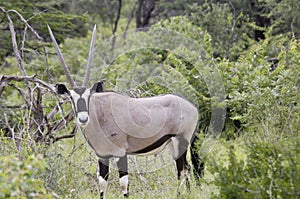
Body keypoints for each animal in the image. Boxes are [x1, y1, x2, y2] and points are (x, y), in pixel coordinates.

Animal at [48, 24, 202, 197]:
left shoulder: (121, 153)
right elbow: (102, 182)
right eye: (71, 98)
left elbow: (124, 184)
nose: (83, 119)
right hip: (172, 144)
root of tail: (191, 106)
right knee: (186, 169)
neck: (99, 114)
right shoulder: (102, 155)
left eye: (89, 96)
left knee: (182, 170)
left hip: (181, 141)